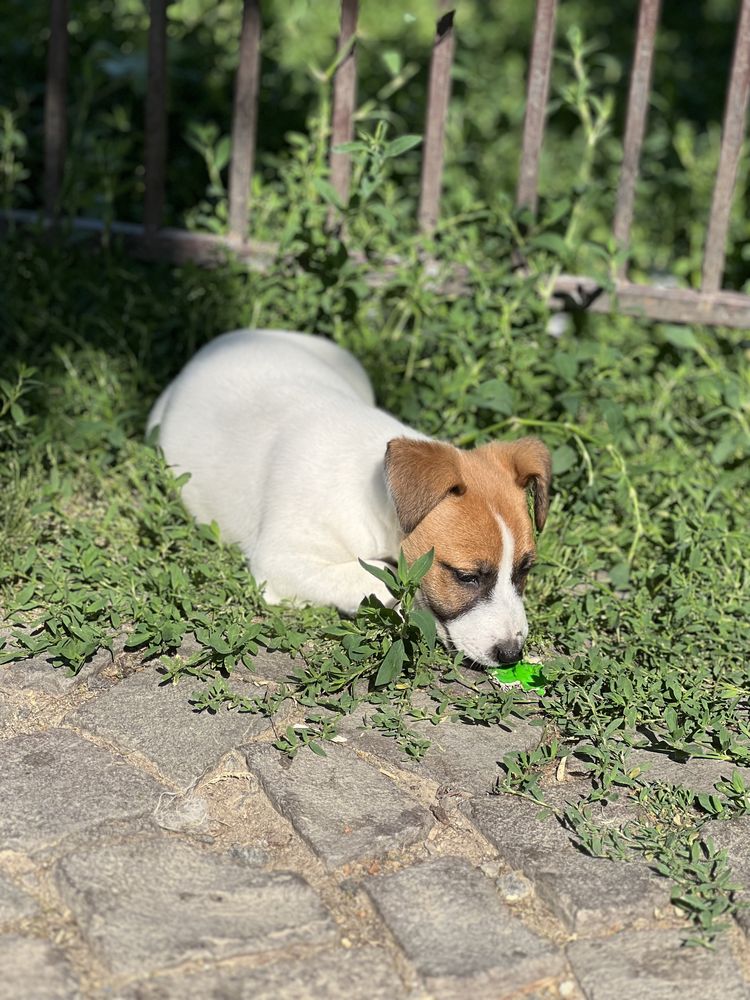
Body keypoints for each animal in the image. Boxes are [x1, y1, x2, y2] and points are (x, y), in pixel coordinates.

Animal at [150, 332, 556, 668]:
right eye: (467, 577)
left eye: (525, 570)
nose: (512, 654)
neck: (372, 494)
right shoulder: (280, 561)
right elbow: (378, 576)